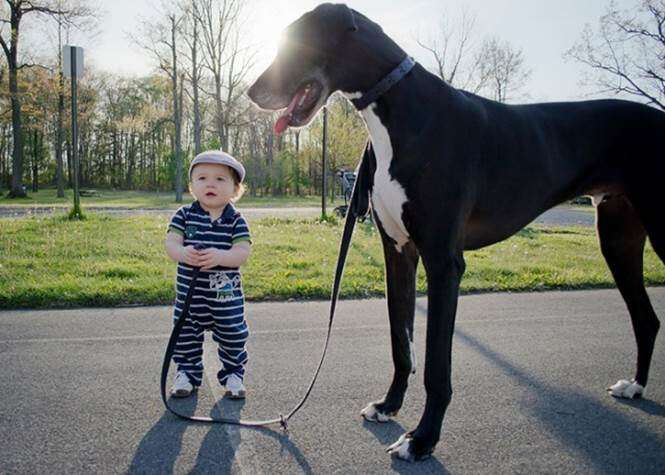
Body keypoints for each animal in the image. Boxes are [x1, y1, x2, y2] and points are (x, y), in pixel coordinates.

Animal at [246, 1, 660, 462]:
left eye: (295, 42)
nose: (251, 92)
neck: (400, 110)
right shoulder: (398, 254)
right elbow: (401, 343)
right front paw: (389, 406)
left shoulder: (444, 263)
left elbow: (434, 366)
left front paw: (422, 439)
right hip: (617, 239)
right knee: (646, 318)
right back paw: (635, 386)